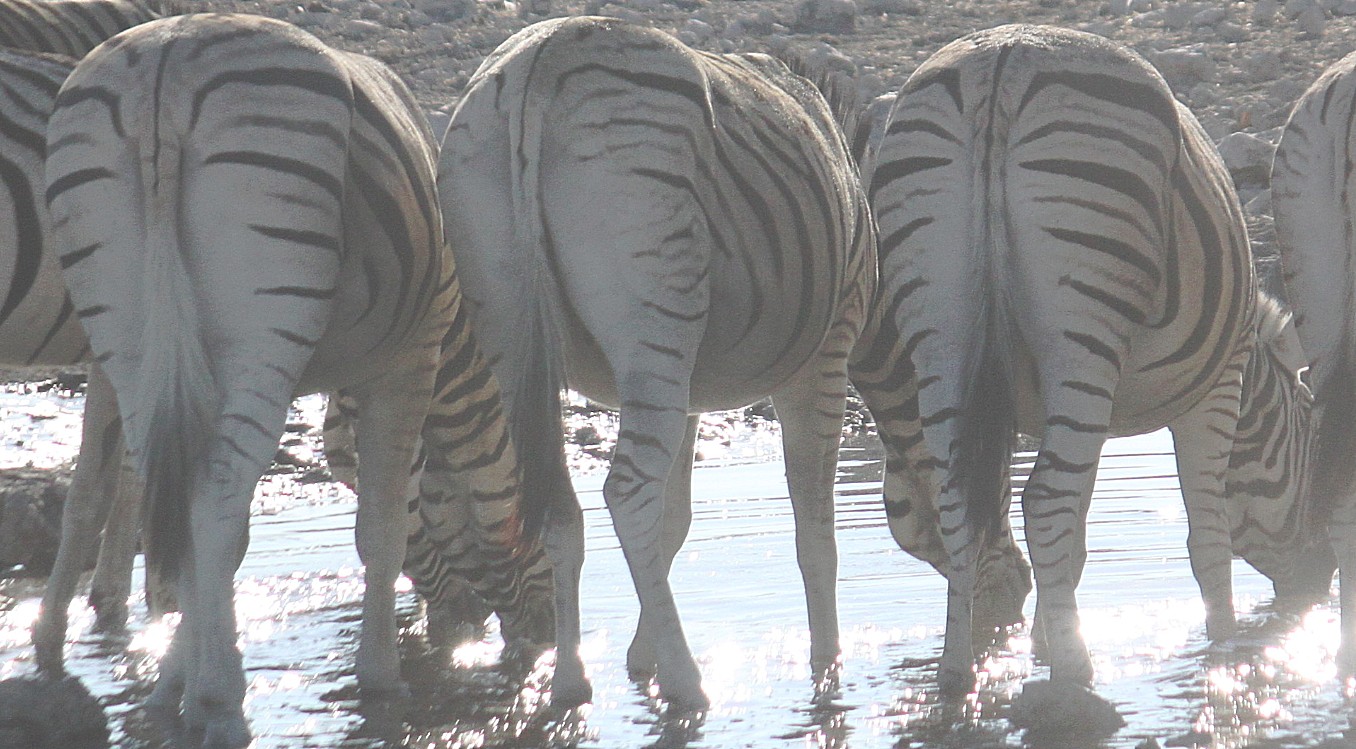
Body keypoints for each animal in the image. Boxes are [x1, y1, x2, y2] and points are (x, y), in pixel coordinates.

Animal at [42, 13, 550, 743]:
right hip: (262, 319)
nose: (541, 640)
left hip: (126, 330)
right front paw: (382, 681)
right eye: (534, 525)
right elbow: (383, 528)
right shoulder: (410, 358)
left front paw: (172, 681)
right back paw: (226, 703)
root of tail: (167, 65)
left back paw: (186, 691)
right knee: (215, 496)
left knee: (172, 491)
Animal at [439, 14, 873, 711]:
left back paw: (571, 680)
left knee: (561, 506)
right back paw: (688, 683)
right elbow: (815, 533)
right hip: (654, 312)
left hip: (507, 315)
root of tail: (545, 58)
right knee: (627, 494)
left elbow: (677, 523)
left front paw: (641, 655)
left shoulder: (692, 394)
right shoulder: (824, 359)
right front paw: (828, 669)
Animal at [862, 26, 1318, 721]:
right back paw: (1079, 679)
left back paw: (958, 679)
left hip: (937, 324)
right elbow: (1207, 540)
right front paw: (1224, 657)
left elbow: (1074, 541)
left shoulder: (1078, 411)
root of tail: (1002, 60)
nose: (1319, 588)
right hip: (1084, 319)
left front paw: (1042, 643)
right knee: (1046, 501)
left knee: (960, 503)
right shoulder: (1216, 388)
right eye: (1314, 438)